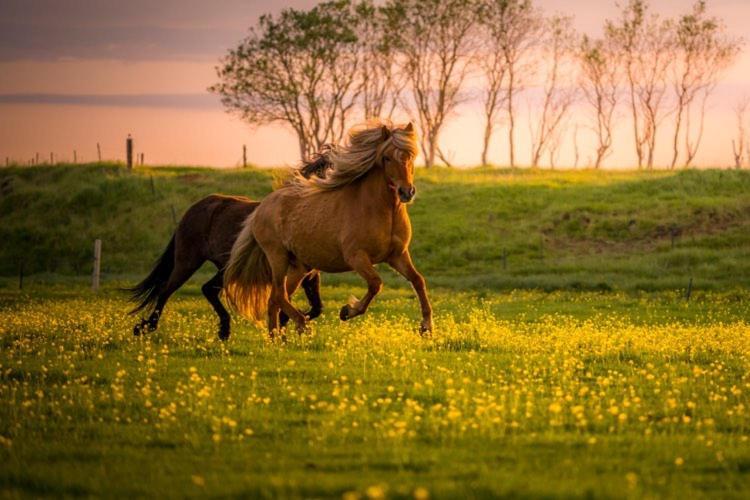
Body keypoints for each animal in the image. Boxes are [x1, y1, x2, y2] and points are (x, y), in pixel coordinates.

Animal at [129, 192, 326, 340]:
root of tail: (195, 208)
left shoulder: (309, 275)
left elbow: (316, 307)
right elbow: (285, 301)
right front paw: (287, 329)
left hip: (225, 269)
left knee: (207, 289)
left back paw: (224, 331)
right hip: (187, 263)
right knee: (165, 291)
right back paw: (146, 327)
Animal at [226, 119, 432, 334]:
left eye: (410, 156)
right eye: (387, 158)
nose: (406, 192)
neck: (381, 210)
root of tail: (261, 207)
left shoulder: (397, 255)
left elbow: (418, 280)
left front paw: (426, 326)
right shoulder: (356, 257)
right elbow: (376, 283)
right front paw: (348, 311)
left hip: (299, 267)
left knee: (274, 299)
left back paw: (277, 337)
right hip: (277, 257)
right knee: (279, 295)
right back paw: (301, 324)